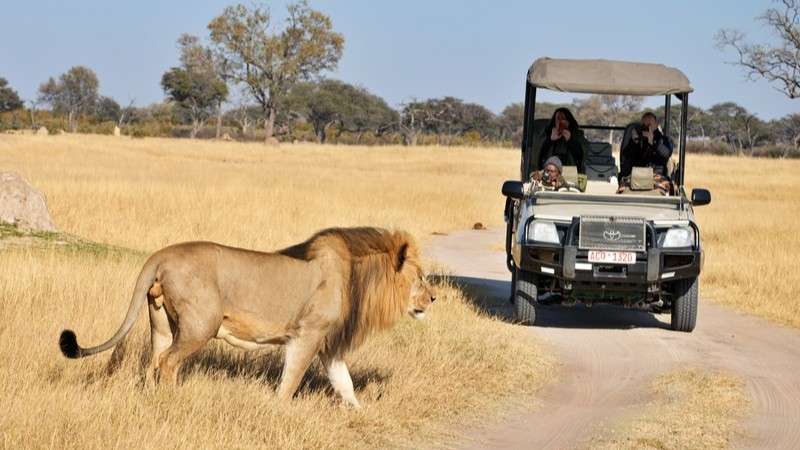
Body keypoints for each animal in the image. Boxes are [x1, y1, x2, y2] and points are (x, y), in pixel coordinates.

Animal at [59, 227, 435, 407]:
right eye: (420, 276)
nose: (434, 298)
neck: (359, 278)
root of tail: (161, 255)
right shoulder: (307, 335)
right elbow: (291, 380)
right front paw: (279, 410)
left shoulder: (328, 345)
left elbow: (346, 385)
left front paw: (362, 412)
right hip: (201, 325)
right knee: (168, 362)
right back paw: (174, 399)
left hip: (162, 324)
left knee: (153, 361)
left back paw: (152, 397)